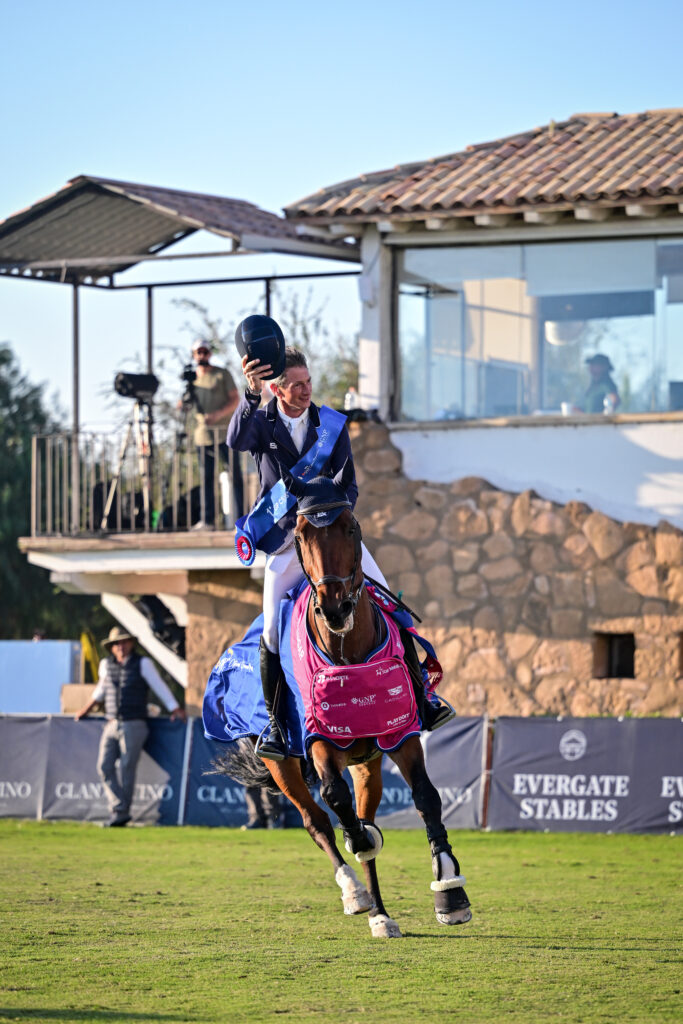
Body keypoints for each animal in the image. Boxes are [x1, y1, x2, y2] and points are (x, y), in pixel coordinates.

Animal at [216, 468, 473, 937]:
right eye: (300, 533)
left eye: (351, 527)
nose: (335, 609)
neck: (347, 652)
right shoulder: (319, 739)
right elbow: (337, 802)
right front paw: (359, 845)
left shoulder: (400, 733)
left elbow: (426, 797)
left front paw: (449, 888)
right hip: (283, 764)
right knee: (317, 822)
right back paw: (355, 891)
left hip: (366, 759)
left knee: (364, 812)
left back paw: (381, 914)